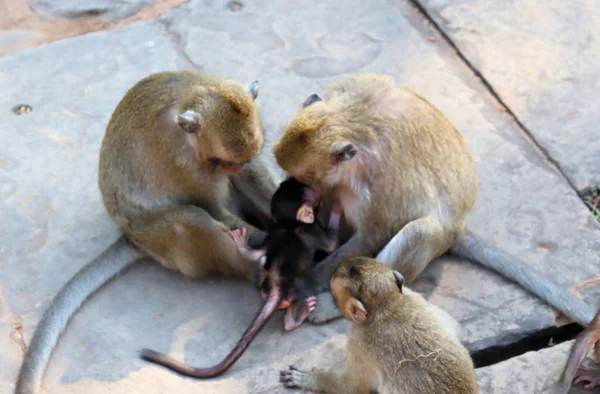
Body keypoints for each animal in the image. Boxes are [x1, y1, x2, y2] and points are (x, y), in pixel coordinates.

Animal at [14, 71, 276, 394]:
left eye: (236, 160)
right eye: (222, 160)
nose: (233, 169)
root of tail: (130, 236)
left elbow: (252, 174)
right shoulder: (181, 161)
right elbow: (210, 206)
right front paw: (270, 237)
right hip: (157, 236)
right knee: (188, 218)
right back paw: (255, 268)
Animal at [231, 179, 340, 332]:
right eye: (319, 202)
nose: (323, 201)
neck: (290, 223)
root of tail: (277, 286)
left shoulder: (274, 232)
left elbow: (257, 252)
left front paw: (240, 243)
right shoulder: (311, 228)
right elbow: (331, 244)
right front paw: (337, 204)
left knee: (262, 259)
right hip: (298, 284)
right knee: (302, 289)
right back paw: (294, 319)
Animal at [274, 72, 596, 328]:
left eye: (302, 177)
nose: (295, 187)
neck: (349, 118)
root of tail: (459, 226)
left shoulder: (384, 178)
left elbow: (375, 233)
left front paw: (311, 278)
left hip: (437, 236)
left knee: (419, 232)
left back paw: (333, 306)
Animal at [280, 258, 478, 394]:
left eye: (335, 296)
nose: (333, 302)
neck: (387, 304)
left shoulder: (358, 342)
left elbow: (353, 387)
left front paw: (311, 379)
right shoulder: (413, 295)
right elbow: (454, 326)